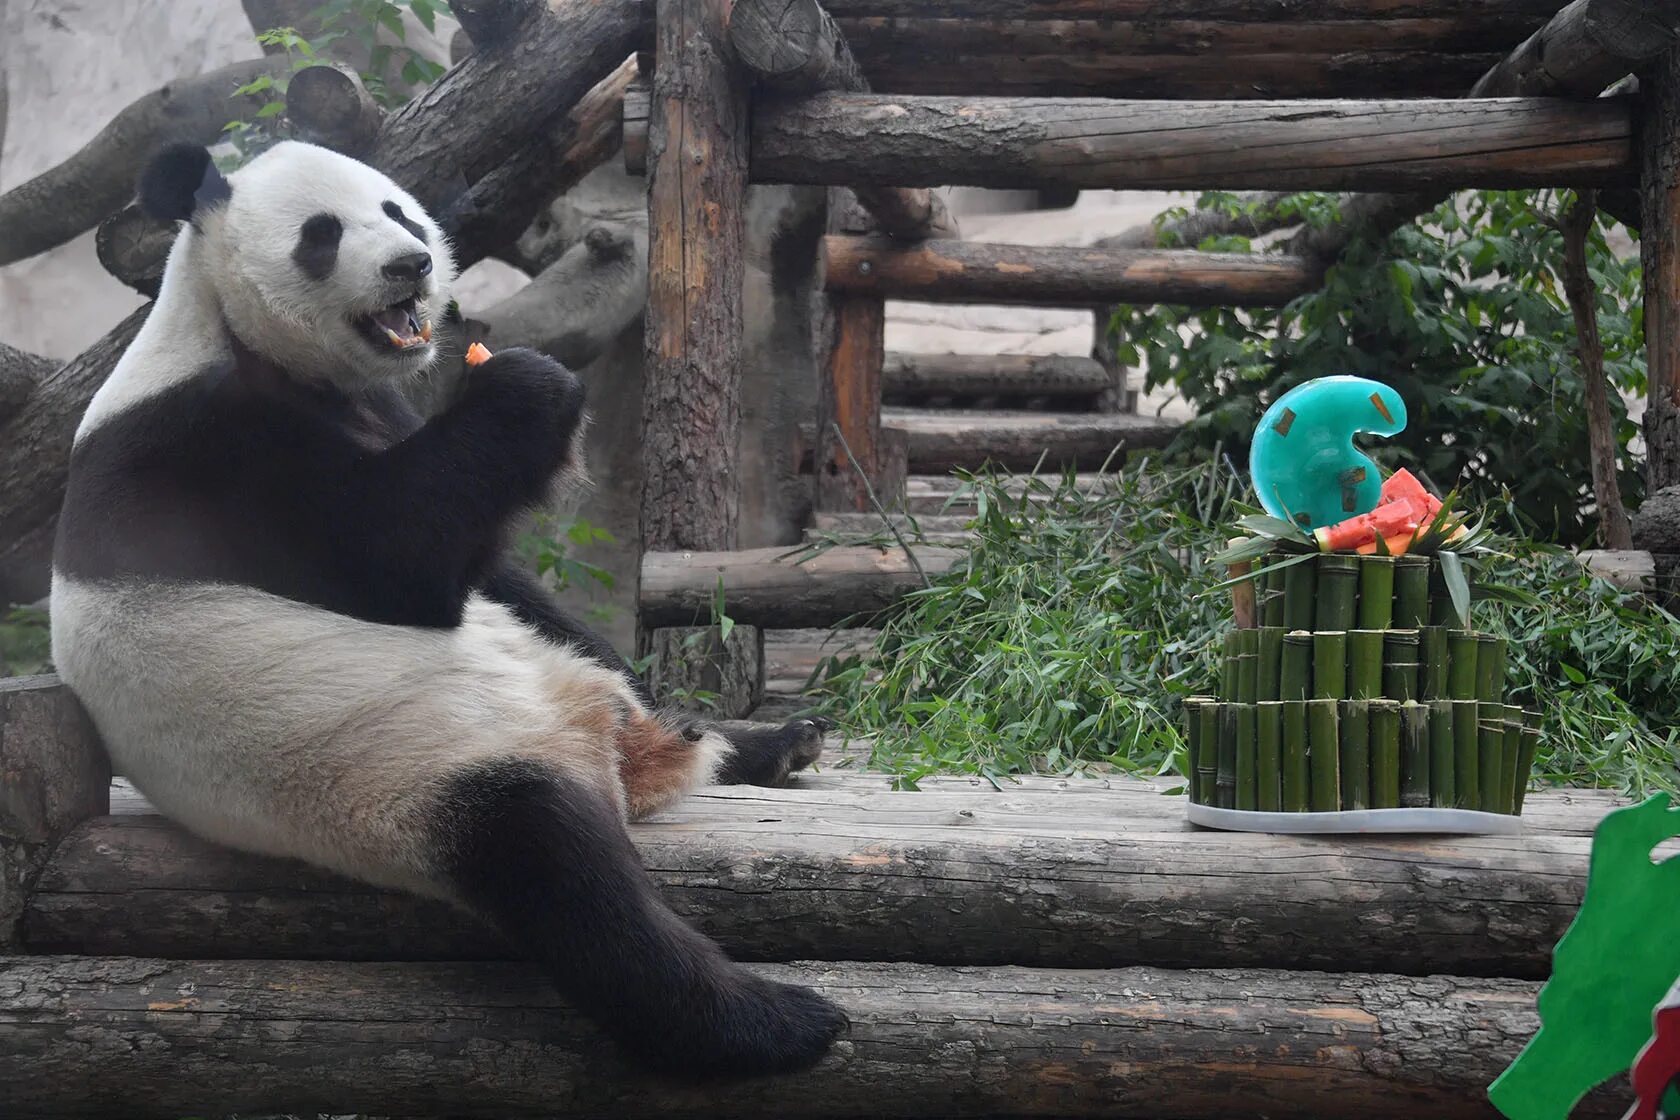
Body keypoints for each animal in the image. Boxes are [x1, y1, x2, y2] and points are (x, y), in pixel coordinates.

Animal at [54, 140, 853, 1074]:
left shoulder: (380, 404)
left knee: (604, 680)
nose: (412, 265)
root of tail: (609, 753)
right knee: (561, 874)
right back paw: (771, 1021)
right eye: (321, 235)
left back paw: (768, 741)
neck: (231, 328)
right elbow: (395, 556)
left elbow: (492, 569)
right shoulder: (205, 449)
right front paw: (529, 384)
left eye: (397, 211)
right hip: (417, 781)